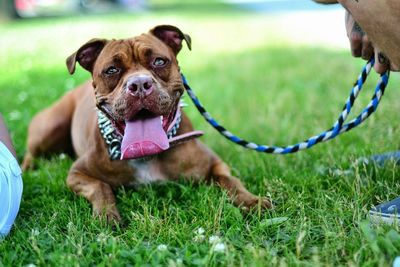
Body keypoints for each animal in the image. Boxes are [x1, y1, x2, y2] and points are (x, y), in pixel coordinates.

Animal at [21, 25, 272, 223]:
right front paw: (107, 215)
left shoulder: (215, 165)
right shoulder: (77, 174)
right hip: (50, 127)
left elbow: (231, 182)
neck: (146, 154)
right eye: (112, 70)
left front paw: (253, 201)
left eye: (159, 61)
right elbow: (100, 187)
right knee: (31, 154)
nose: (139, 84)